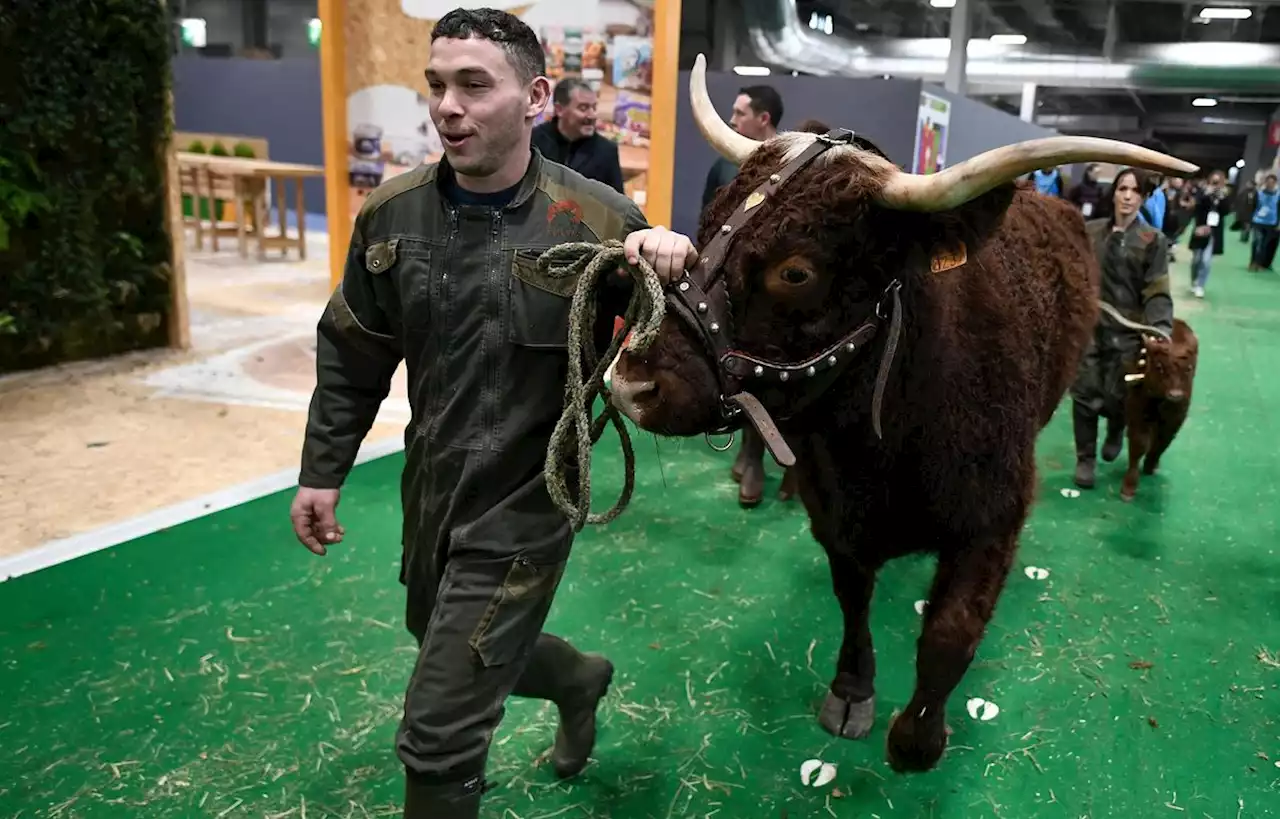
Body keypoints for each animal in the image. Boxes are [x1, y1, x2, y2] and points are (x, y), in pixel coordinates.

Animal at [609, 54, 1198, 772]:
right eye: (707, 222)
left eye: (796, 271)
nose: (630, 382)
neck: (884, 444)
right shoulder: (835, 515)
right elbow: (852, 600)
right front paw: (851, 691)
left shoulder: (994, 514)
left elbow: (950, 632)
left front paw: (918, 739)